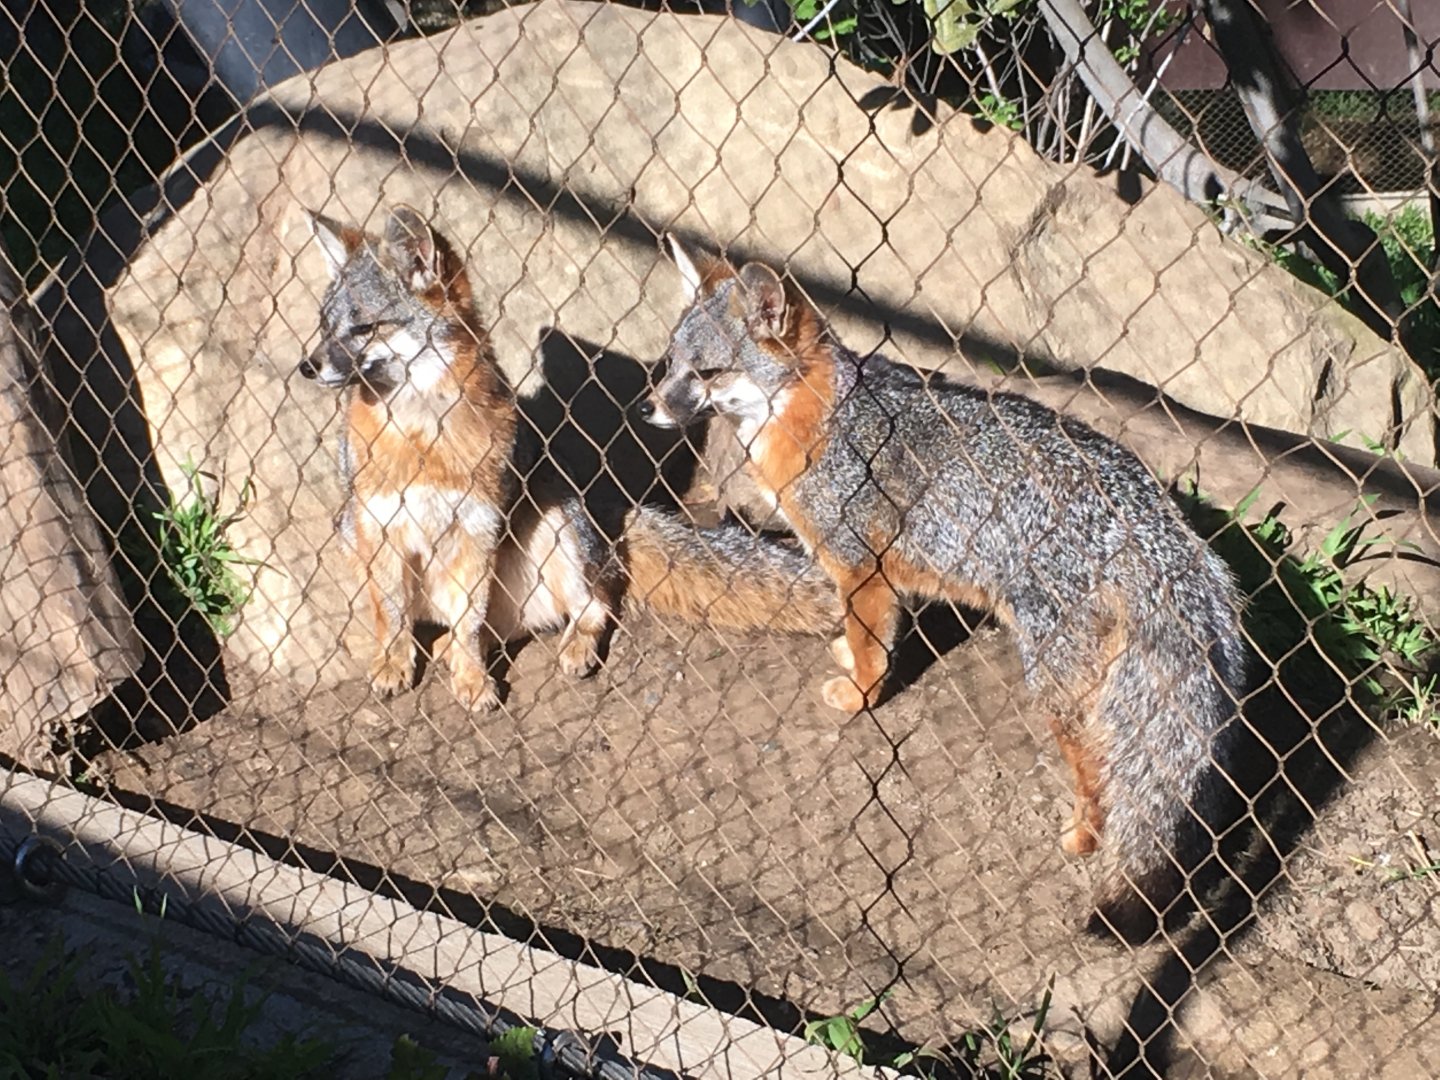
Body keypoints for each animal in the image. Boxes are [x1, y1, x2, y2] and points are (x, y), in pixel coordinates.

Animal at [297, 206, 838, 711]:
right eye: (324, 326)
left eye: (364, 328)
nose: (306, 365)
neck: (419, 438)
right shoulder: (376, 521)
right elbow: (390, 614)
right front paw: (393, 663)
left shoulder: (477, 525)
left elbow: (471, 620)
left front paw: (471, 679)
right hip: (351, 529)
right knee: (481, 625)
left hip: (557, 522)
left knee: (593, 606)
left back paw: (568, 648)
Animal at [640, 238, 1252, 939]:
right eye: (671, 362)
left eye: (708, 374)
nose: (646, 408)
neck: (818, 415)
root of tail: (1154, 518)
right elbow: (860, 632)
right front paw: (846, 656)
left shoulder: (862, 566)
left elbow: (874, 644)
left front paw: (859, 695)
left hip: (1058, 685)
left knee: (1101, 766)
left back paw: (1082, 837)